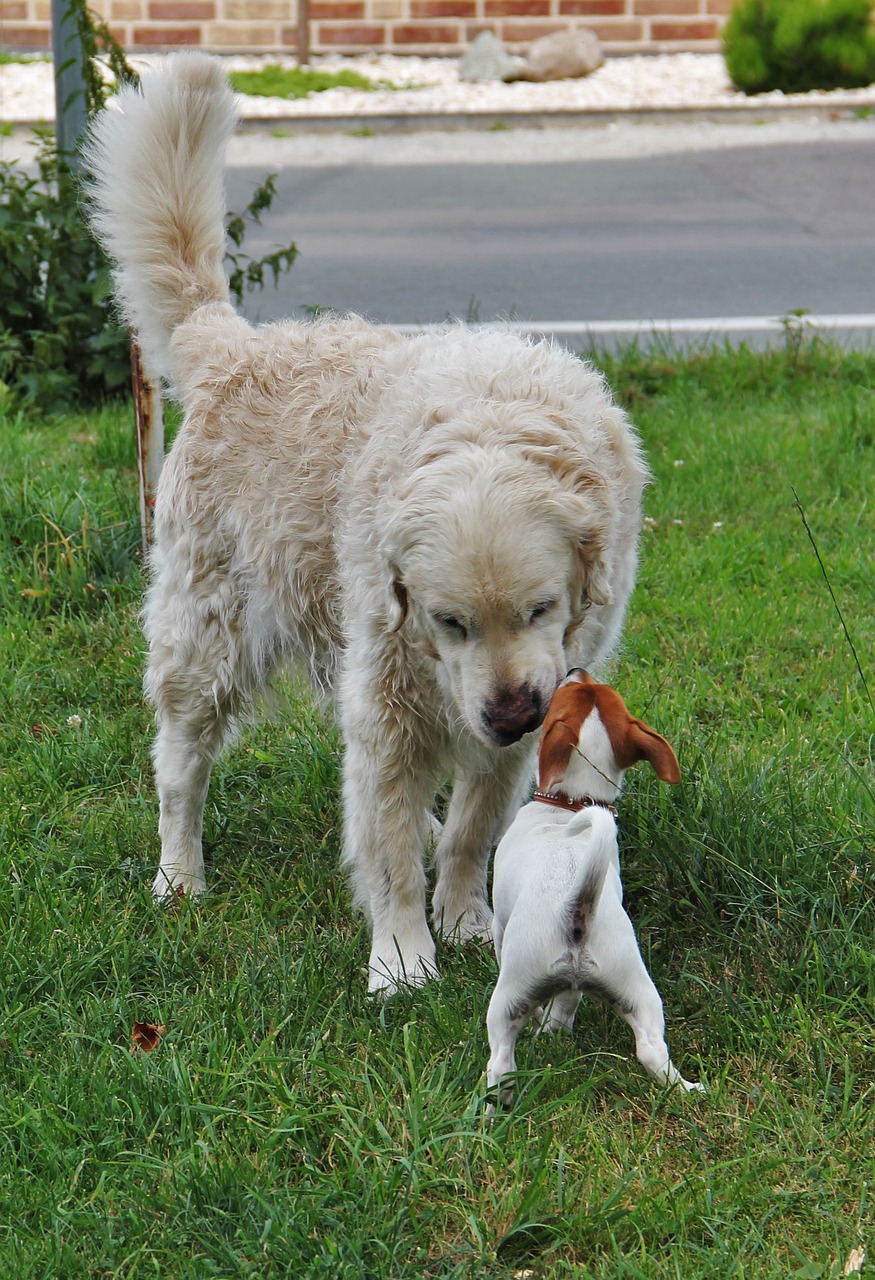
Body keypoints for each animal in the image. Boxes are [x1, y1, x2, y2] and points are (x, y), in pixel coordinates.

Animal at [86, 55, 649, 993]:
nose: (509, 714)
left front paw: (464, 921)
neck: (489, 425)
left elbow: (470, 830)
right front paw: (401, 959)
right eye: (447, 621)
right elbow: (384, 847)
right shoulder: (391, 689)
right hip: (206, 642)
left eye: (539, 608)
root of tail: (233, 345)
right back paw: (179, 876)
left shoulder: (522, 702)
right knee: (179, 769)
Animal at [486, 670, 706, 1111]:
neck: (571, 803)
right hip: (638, 989)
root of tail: (577, 909)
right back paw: (687, 1089)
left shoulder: (500, 923)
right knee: (652, 1051)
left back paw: (491, 1108)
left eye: (564, 694)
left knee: (501, 1060)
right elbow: (562, 1009)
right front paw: (552, 1029)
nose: (576, 671)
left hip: (509, 994)